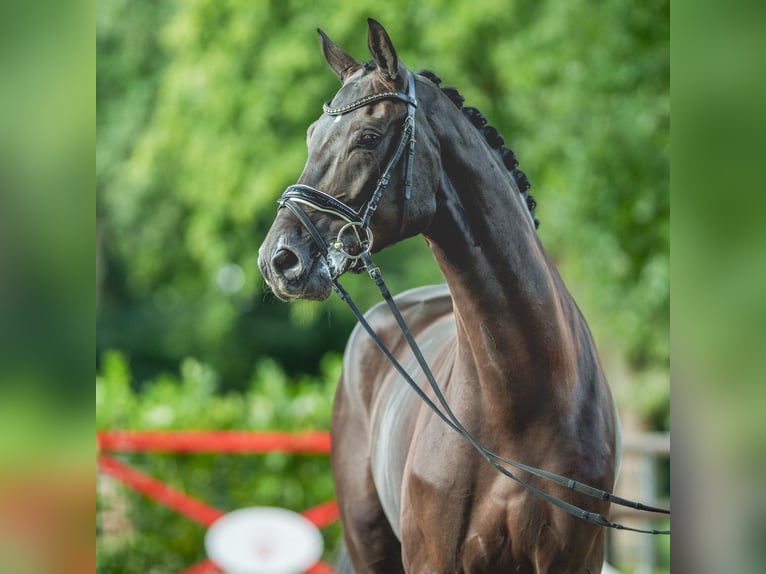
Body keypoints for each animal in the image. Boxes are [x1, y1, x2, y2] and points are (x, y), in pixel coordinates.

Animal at [260, 19, 620, 574]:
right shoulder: (433, 559)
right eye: (310, 137)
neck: (520, 403)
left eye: (368, 137)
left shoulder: (575, 561)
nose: (279, 260)